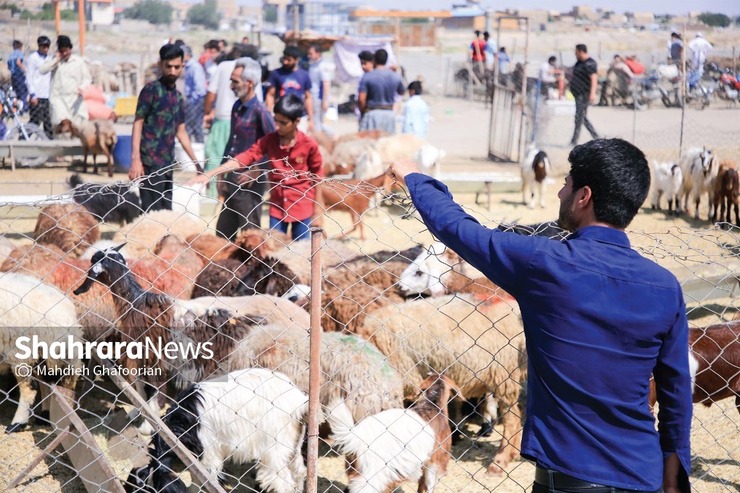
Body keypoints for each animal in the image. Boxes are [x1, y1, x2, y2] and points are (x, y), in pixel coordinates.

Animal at [0, 272, 84, 430]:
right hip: (44, 355)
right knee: (48, 384)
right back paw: (45, 416)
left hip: (21, 351)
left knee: (31, 388)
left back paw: (17, 423)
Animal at [125, 368, 308, 490]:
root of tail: (299, 401)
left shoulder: (208, 450)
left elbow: (204, 478)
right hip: (292, 442)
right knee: (299, 471)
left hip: (274, 445)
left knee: (281, 481)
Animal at [326, 372, 460, 492]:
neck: (432, 405)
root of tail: (356, 436)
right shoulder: (435, 460)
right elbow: (428, 485)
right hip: (373, 473)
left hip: (356, 467)